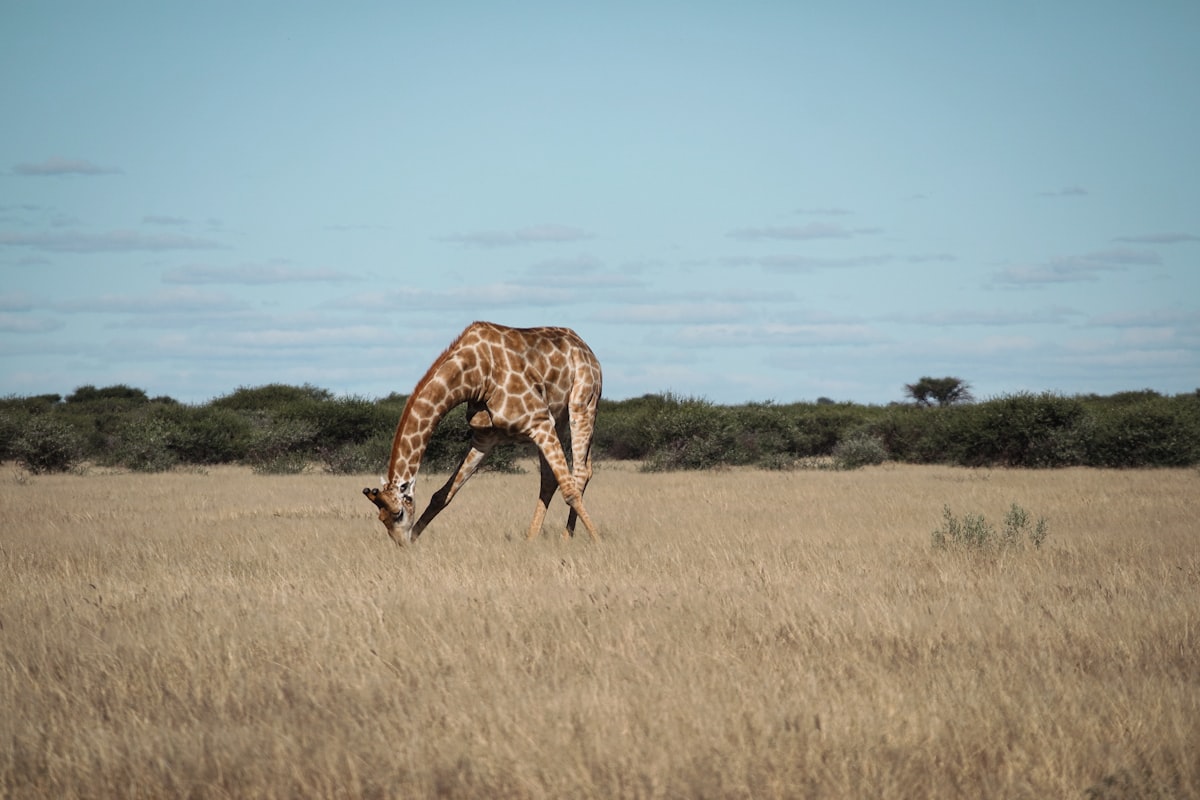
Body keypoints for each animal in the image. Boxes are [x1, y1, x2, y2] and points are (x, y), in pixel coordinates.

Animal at [355, 321, 600, 546]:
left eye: (398, 514)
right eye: (381, 518)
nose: (402, 545)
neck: (475, 376)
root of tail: (585, 347)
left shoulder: (538, 420)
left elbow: (569, 490)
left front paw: (598, 541)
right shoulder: (485, 437)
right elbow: (442, 495)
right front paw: (416, 539)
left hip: (583, 403)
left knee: (578, 473)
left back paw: (567, 537)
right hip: (557, 419)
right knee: (552, 478)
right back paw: (531, 538)